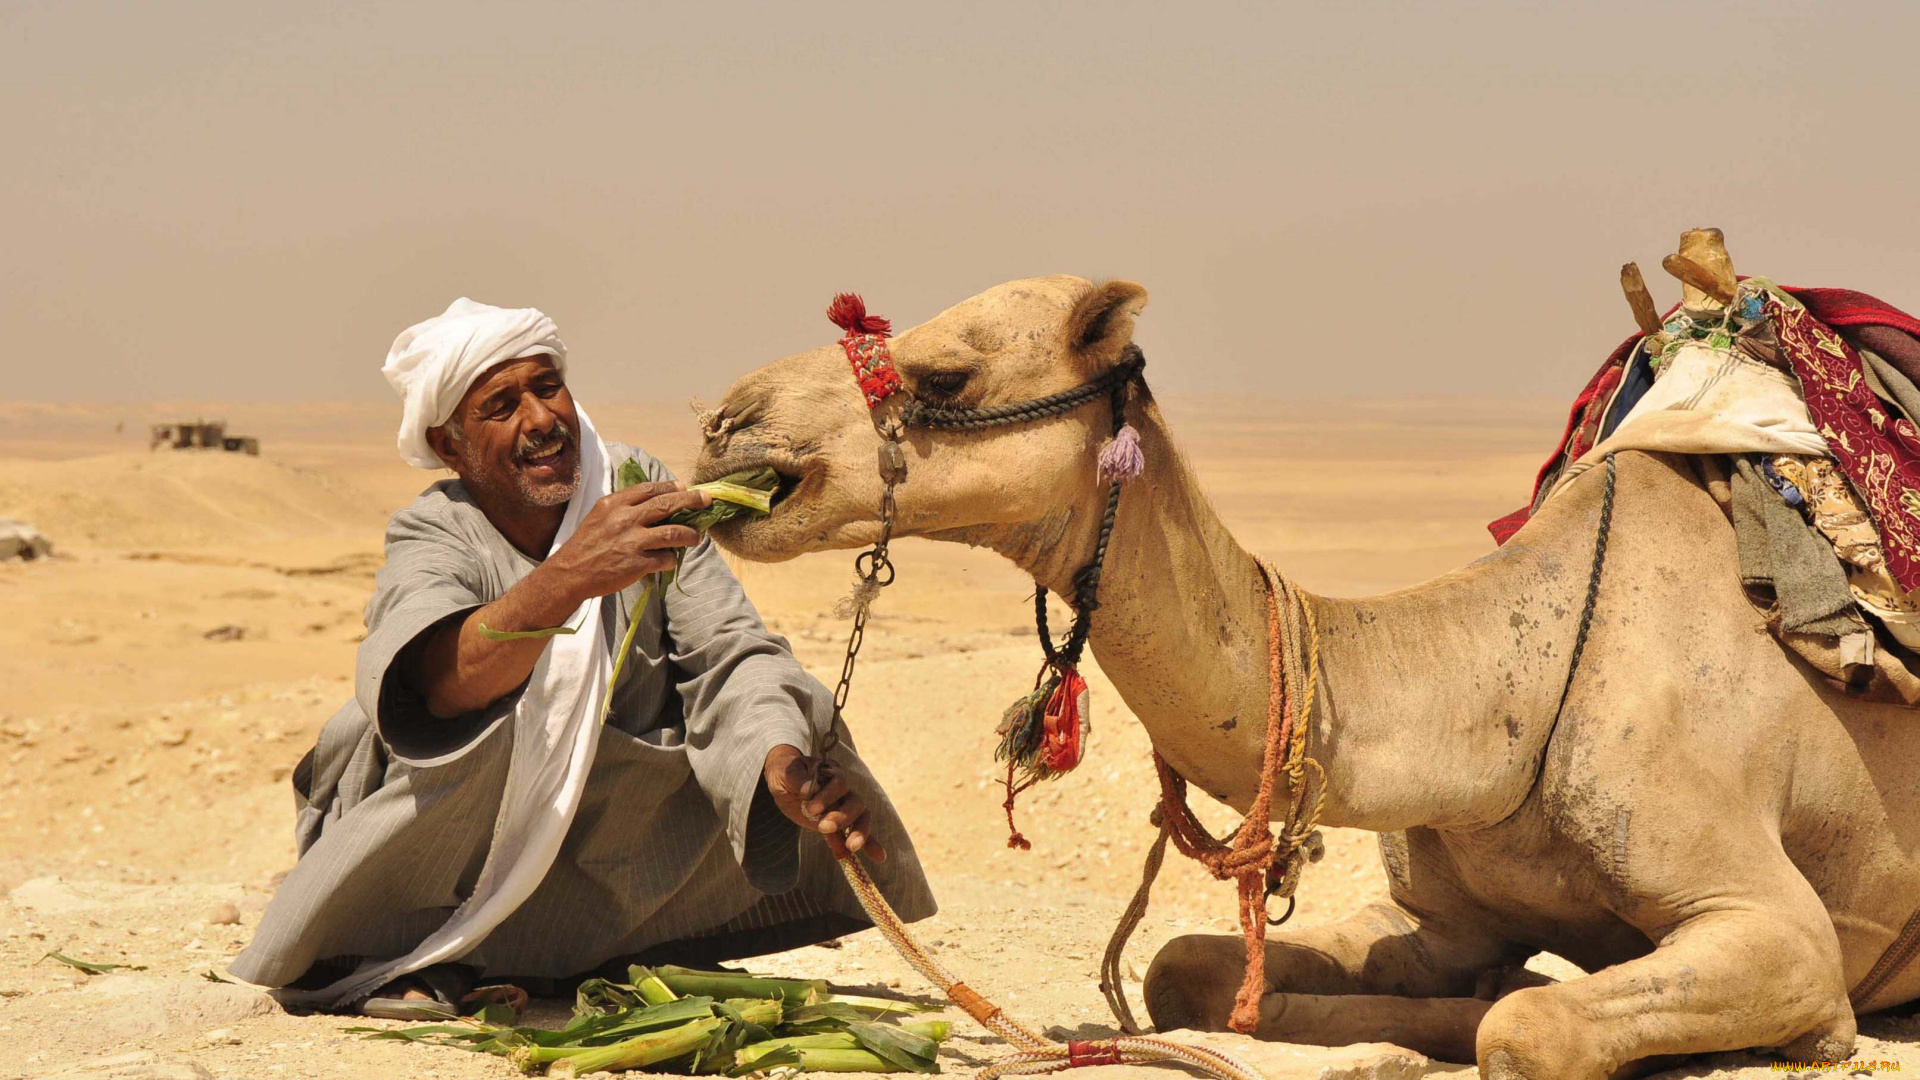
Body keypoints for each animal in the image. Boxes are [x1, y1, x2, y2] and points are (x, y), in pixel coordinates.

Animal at [698, 272, 1920, 1068]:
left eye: (946, 372)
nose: (726, 421)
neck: (1507, 691)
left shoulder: (1771, 921)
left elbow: (1529, 1029)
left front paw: (1812, 1035)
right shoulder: (1435, 915)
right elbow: (1185, 970)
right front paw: (1430, 1017)